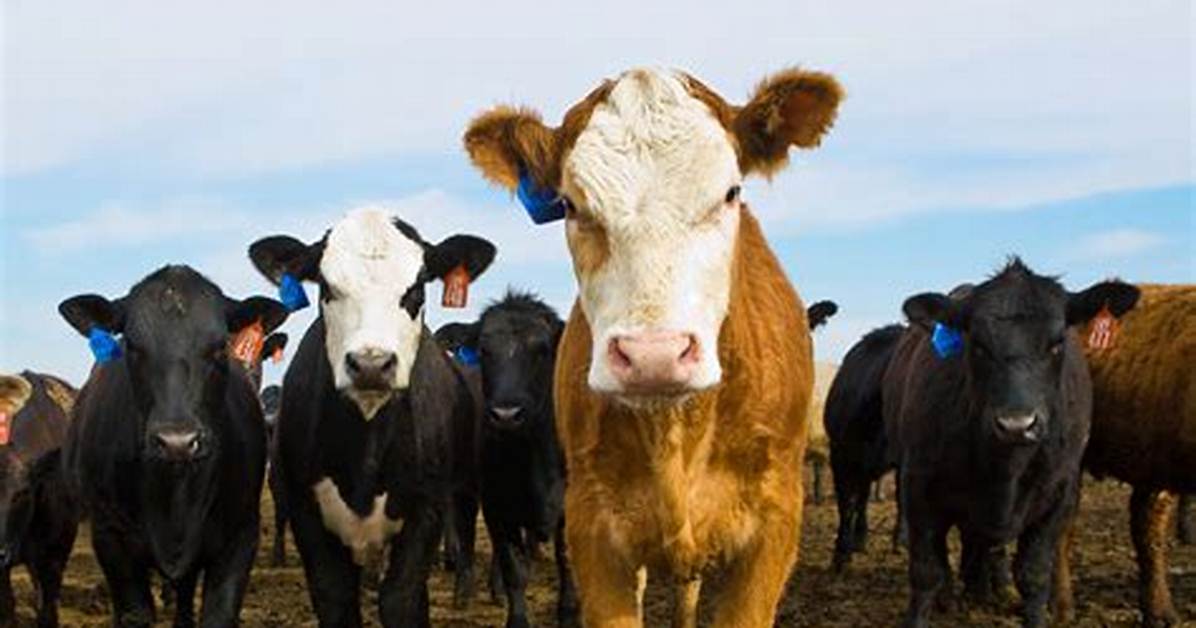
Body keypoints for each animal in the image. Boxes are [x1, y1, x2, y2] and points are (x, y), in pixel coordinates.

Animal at [58, 265, 288, 627]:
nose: (177, 442)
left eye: (219, 345)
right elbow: (135, 612)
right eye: (132, 345)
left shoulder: (240, 535)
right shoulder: (111, 537)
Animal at [247, 208, 495, 627]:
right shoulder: (306, 513)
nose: (371, 364)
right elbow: (335, 598)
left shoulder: (426, 509)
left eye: (417, 287)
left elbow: (402, 599)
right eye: (327, 287)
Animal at [884, 259, 1138, 628]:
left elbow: (1034, 575)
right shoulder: (918, 486)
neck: (1005, 469)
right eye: (977, 343)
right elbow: (926, 571)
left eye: (1057, 342)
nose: (1017, 424)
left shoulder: (1060, 494)